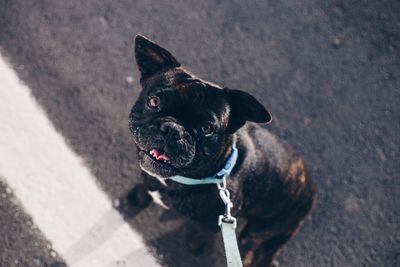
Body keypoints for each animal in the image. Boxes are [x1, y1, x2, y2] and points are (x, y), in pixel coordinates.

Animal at [128, 34, 316, 266]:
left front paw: (194, 244)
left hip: (258, 235)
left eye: (207, 129)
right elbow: (144, 186)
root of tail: (310, 190)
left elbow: (201, 231)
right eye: (153, 102)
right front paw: (137, 197)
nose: (173, 129)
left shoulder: (217, 219)